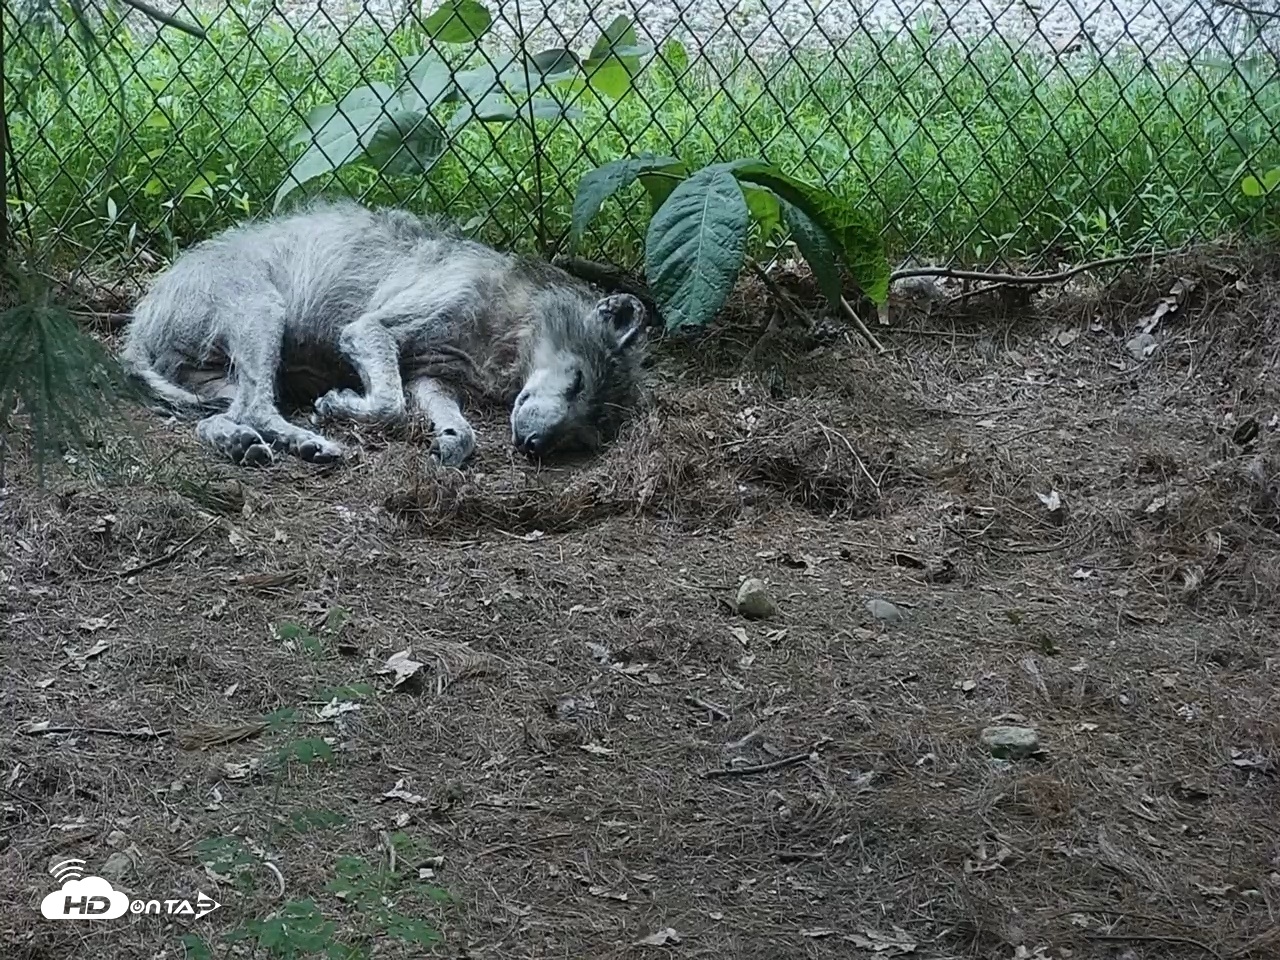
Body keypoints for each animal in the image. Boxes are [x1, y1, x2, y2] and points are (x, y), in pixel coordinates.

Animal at [119, 198, 649, 468]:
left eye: (583, 437)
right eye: (577, 383)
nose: (534, 445)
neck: (510, 318)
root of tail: (138, 323)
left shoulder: (430, 379)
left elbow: (460, 427)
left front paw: (450, 442)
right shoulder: (367, 330)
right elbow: (390, 405)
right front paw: (339, 405)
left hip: (231, 376)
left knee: (217, 420)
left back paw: (249, 444)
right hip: (263, 315)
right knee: (256, 408)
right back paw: (307, 440)